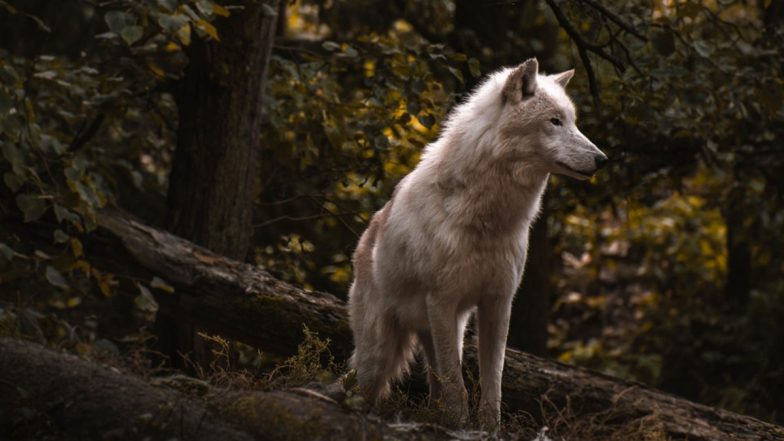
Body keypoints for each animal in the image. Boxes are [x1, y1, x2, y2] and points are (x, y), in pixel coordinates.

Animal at [348, 58, 607, 428]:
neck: (488, 220)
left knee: (434, 382)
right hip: (382, 351)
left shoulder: (498, 302)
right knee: (368, 384)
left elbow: (491, 380)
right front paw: (459, 425)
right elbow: (457, 385)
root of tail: (365, 238)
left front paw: (488, 427)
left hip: (445, 331)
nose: (602, 159)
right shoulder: (441, 300)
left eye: (572, 121)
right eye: (554, 121)